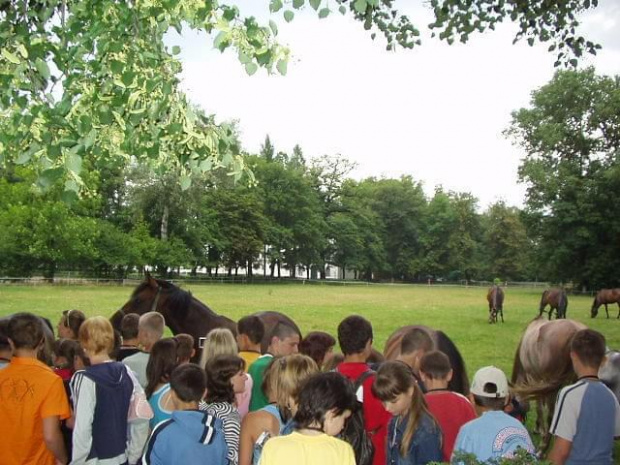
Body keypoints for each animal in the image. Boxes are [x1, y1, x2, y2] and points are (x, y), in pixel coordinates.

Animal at [508, 318, 588, 452]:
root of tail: (575, 332)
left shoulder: (534, 379)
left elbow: (539, 408)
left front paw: (540, 429)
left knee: (551, 415)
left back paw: (542, 449)